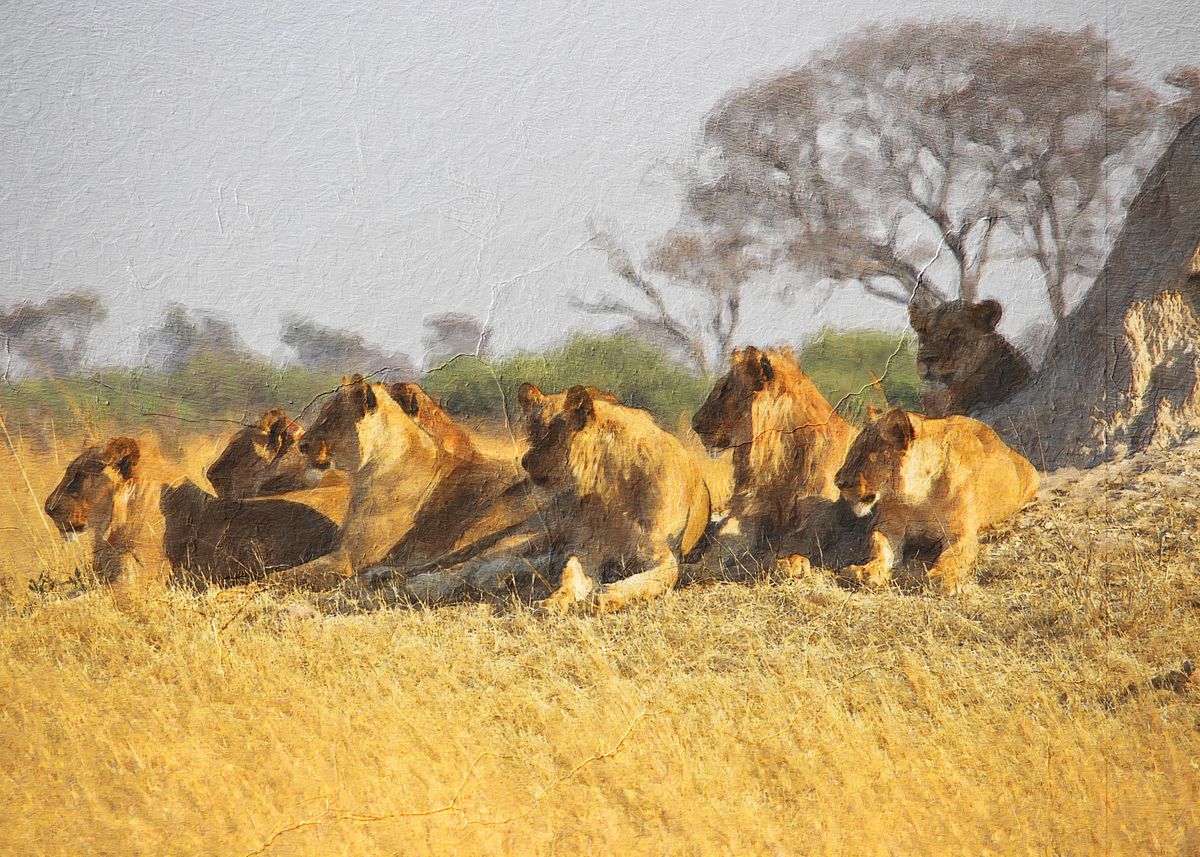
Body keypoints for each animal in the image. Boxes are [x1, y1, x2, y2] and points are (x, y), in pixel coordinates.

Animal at [518, 383, 711, 613]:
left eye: (554, 432)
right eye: (533, 431)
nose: (525, 461)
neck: (609, 484)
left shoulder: (663, 556)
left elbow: (644, 582)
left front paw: (605, 596)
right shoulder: (587, 551)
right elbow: (570, 575)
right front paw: (554, 600)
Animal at [691, 346, 857, 561]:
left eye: (726, 388)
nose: (694, 423)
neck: (777, 458)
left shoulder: (820, 517)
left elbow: (786, 548)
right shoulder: (751, 511)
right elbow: (720, 543)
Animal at [834, 408, 1039, 593]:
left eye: (864, 455)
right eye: (852, 451)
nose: (837, 482)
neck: (920, 497)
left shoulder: (961, 532)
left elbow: (952, 556)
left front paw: (942, 577)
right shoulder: (888, 526)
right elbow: (878, 546)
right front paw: (866, 571)